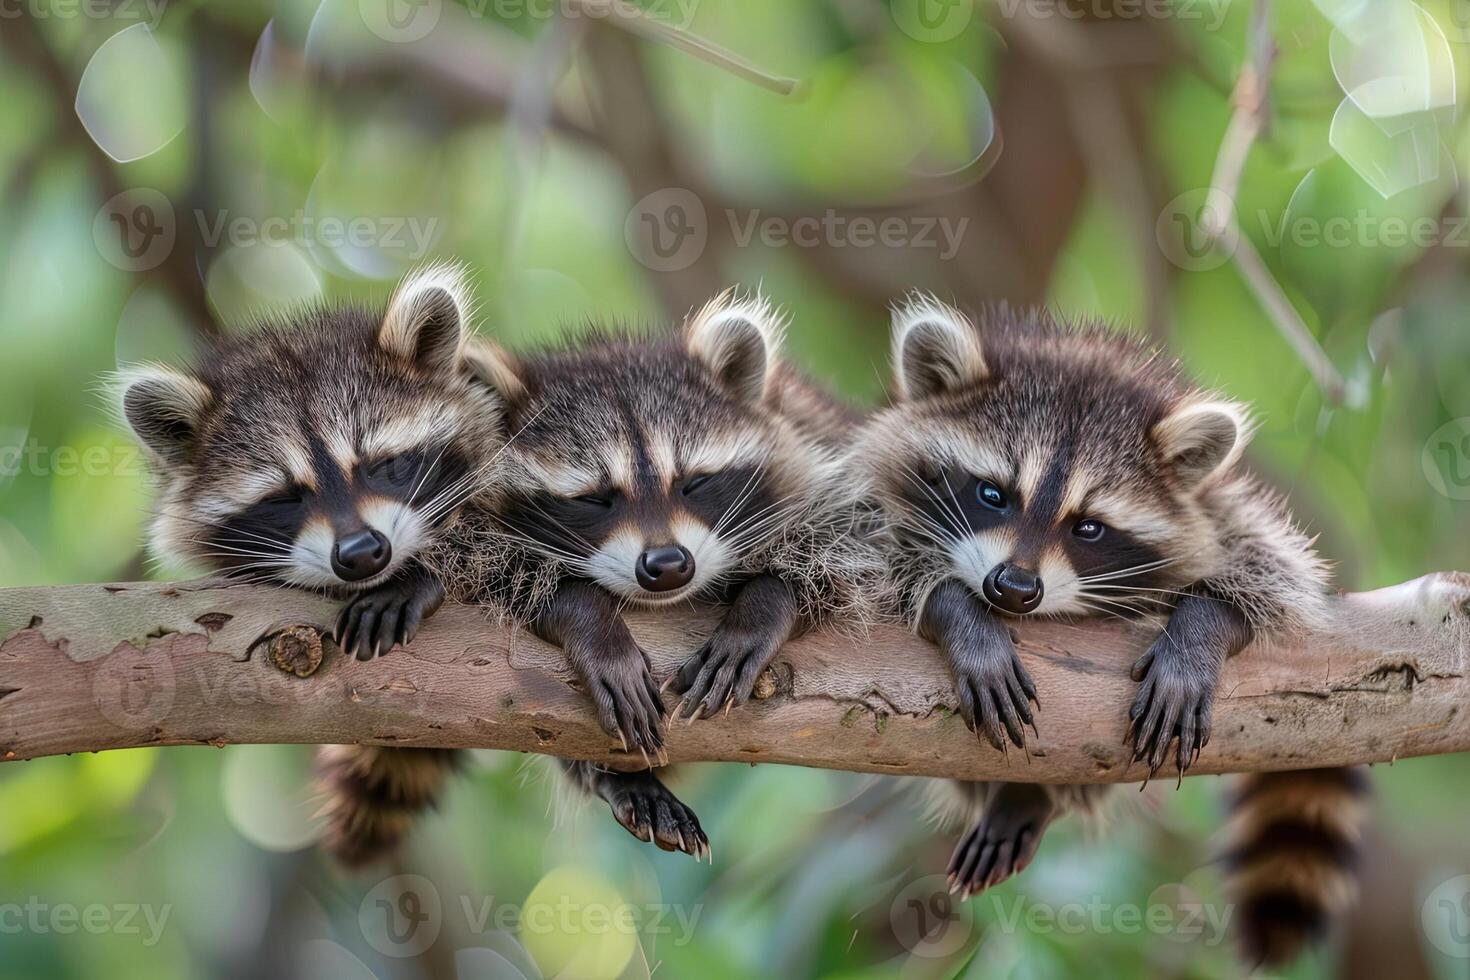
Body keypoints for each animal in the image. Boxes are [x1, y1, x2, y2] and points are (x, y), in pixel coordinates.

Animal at [420, 290, 882, 858]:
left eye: (694, 482)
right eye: (594, 499)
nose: (667, 565)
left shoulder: (821, 447)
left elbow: (858, 547)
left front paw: (766, 603)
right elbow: (477, 565)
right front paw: (588, 619)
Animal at [852, 293, 1364, 963]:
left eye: (1088, 527)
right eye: (991, 493)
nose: (1013, 589)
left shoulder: (1222, 512)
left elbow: (1276, 577)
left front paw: (1199, 632)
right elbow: (864, 568)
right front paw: (962, 618)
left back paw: (1031, 795)